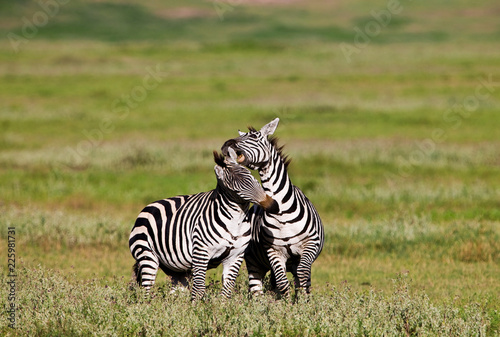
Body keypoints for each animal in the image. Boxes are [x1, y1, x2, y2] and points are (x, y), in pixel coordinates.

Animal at [128, 148, 278, 300]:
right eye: (235, 189)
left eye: (252, 177)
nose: (273, 205)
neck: (236, 221)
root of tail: (147, 208)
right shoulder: (201, 252)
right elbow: (199, 288)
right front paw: (197, 306)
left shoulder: (236, 255)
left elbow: (227, 289)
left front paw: (221, 306)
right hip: (147, 256)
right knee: (146, 291)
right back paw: (148, 305)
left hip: (177, 269)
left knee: (175, 294)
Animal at [222, 117, 324, 296]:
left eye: (254, 137)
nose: (227, 143)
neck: (281, 211)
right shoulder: (274, 250)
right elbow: (283, 283)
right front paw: (286, 303)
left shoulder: (310, 244)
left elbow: (303, 276)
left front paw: (301, 300)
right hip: (254, 263)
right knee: (257, 289)